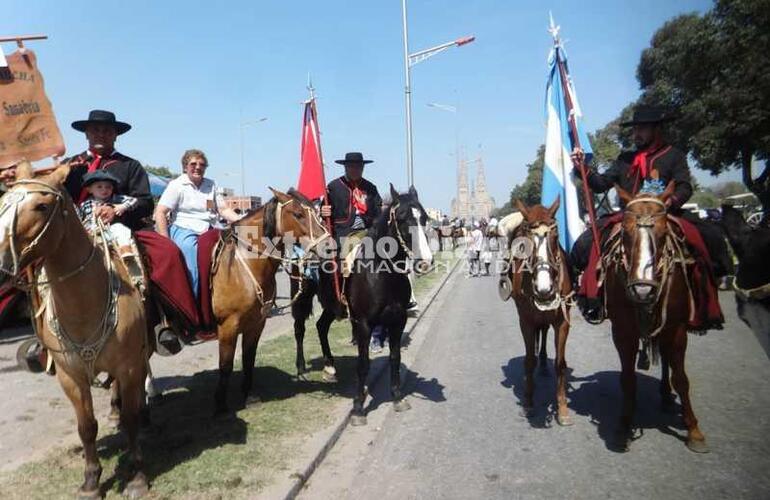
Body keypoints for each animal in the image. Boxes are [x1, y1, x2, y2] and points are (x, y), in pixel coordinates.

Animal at [0, 162, 149, 498]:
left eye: (41, 206)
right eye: (1, 203)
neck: (84, 304)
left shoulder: (129, 365)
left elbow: (133, 418)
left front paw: (137, 476)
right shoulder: (71, 376)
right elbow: (87, 427)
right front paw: (91, 480)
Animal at [210, 186, 328, 412]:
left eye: (317, 214)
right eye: (298, 214)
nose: (329, 245)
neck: (241, 268)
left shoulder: (256, 323)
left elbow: (249, 358)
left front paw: (249, 395)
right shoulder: (227, 326)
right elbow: (225, 365)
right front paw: (220, 405)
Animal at [504, 197, 568, 424]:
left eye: (556, 236)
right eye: (524, 242)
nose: (544, 288)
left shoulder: (563, 321)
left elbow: (560, 364)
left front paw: (563, 408)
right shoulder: (526, 321)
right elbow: (528, 360)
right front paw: (529, 402)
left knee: (545, 331)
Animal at [604, 184, 704, 454]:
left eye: (662, 233)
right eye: (625, 233)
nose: (642, 290)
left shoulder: (677, 328)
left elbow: (681, 379)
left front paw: (694, 430)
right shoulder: (622, 331)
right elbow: (627, 379)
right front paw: (623, 425)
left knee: (668, 359)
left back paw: (666, 395)